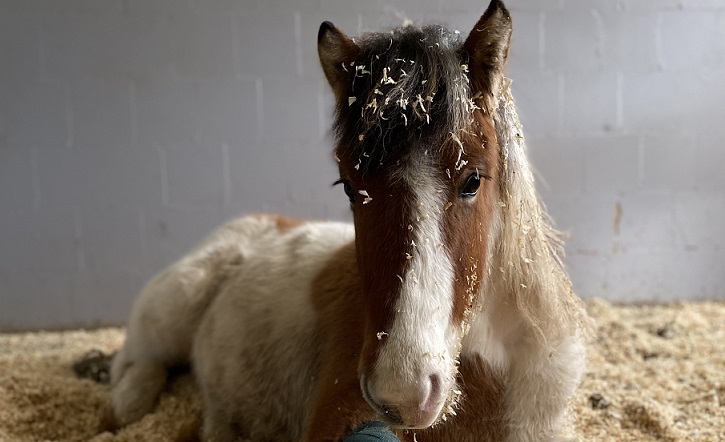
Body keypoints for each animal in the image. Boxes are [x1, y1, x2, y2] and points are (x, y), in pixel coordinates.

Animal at [109, 1, 588, 440]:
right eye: (347, 186)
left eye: (473, 179)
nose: (403, 393)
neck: (496, 367)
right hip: (171, 307)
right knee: (135, 359)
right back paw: (129, 403)